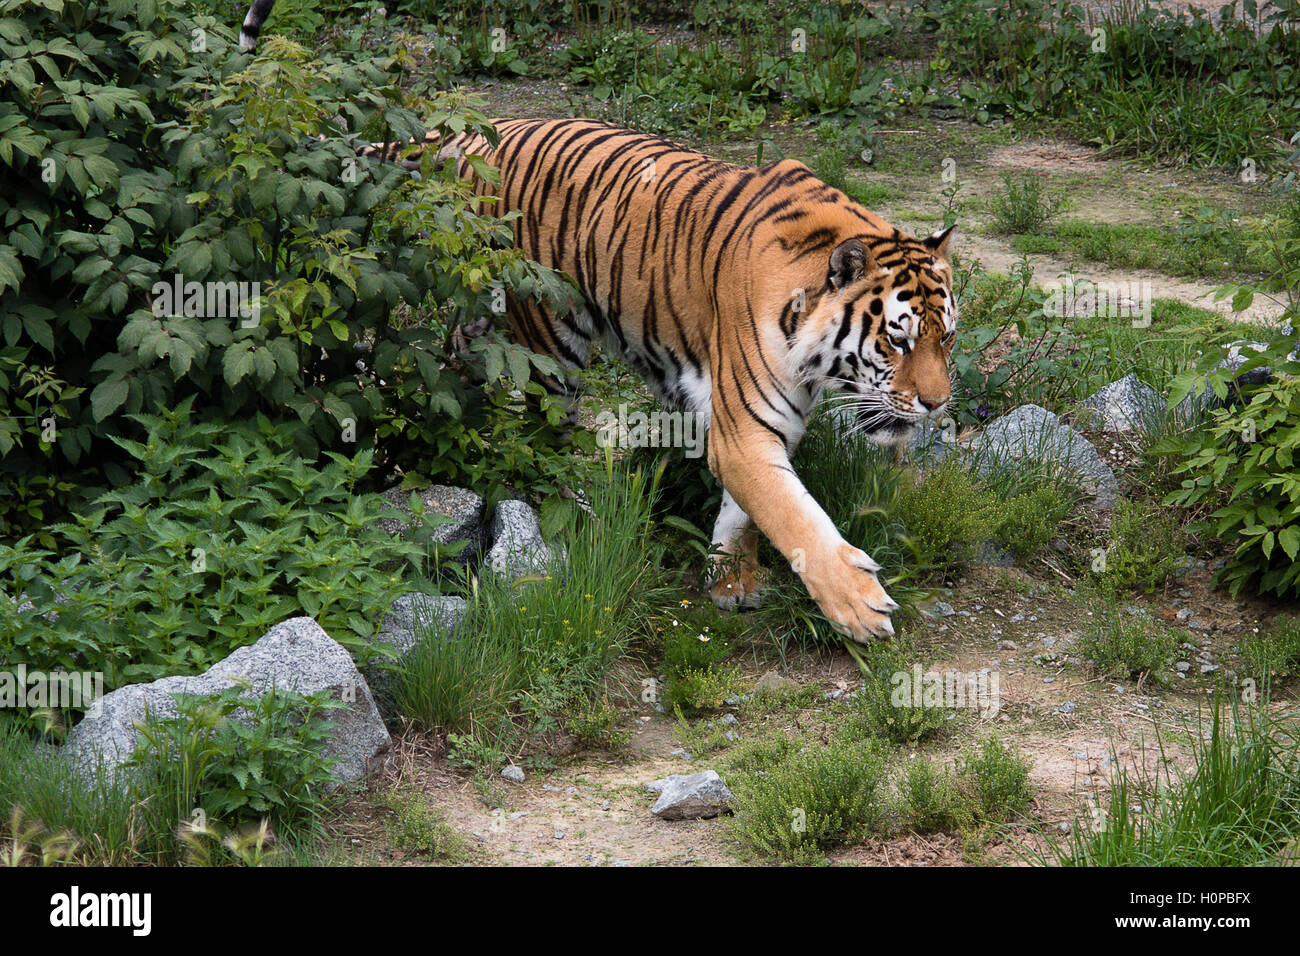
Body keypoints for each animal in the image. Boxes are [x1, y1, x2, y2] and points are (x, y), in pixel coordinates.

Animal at [354, 118, 958, 642]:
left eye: (946, 339)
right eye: (897, 341)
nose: (937, 404)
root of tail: (491, 128)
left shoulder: (764, 427)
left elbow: (746, 512)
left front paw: (731, 580)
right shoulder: (746, 430)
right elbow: (795, 518)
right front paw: (859, 605)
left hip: (480, 314)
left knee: (452, 365)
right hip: (550, 344)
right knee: (547, 444)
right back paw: (577, 517)